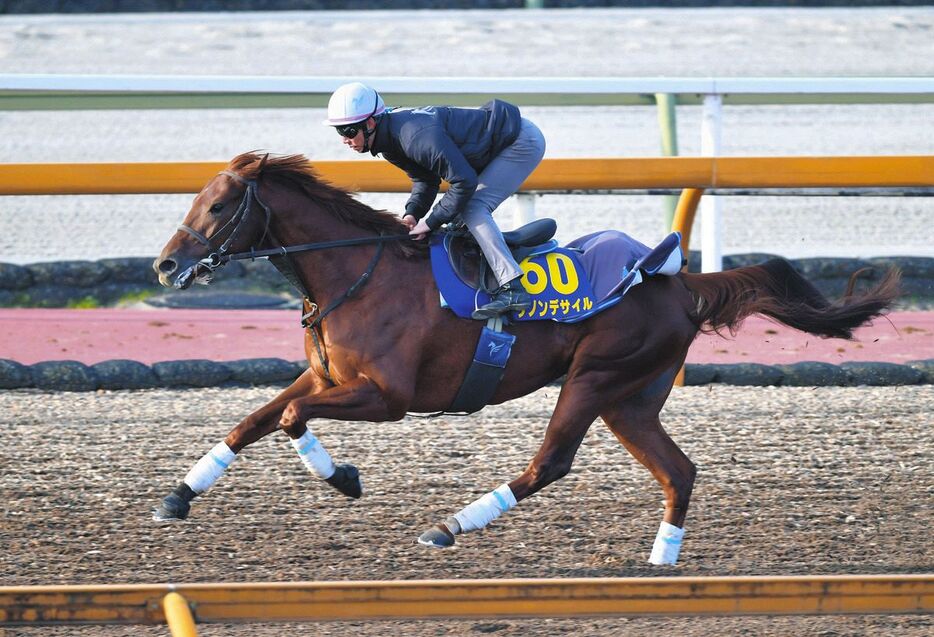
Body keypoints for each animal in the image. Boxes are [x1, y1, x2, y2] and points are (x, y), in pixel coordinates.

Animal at [152, 152, 900, 564]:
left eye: (219, 205)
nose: (164, 265)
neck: (356, 272)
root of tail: (678, 281)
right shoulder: (324, 373)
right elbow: (252, 421)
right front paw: (179, 495)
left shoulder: (388, 397)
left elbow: (291, 420)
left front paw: (345, 478)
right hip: (630, 398)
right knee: (679, 471)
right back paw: (661, 561)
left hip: (595, 378)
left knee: (551, 463)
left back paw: (450, 526)